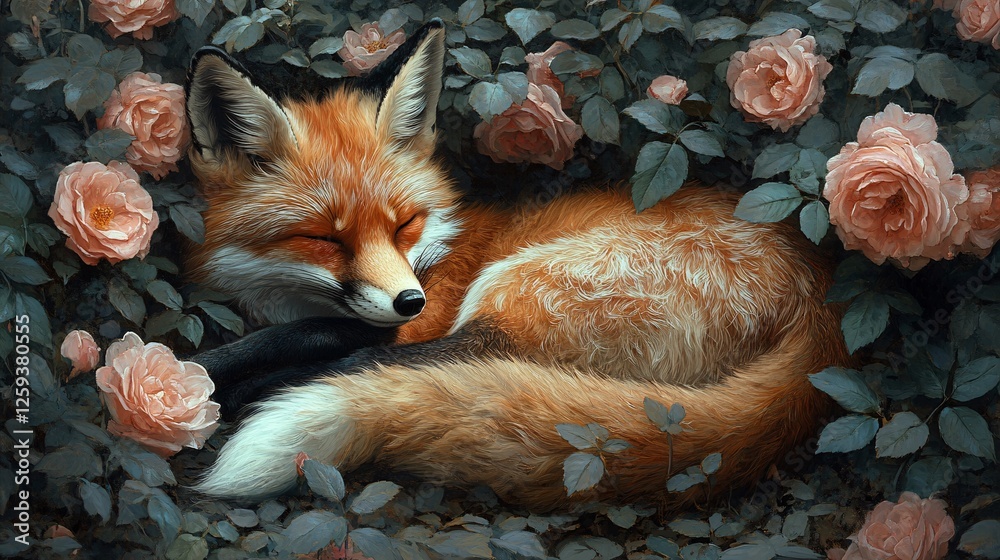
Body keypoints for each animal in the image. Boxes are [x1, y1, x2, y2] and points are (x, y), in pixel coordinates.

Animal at [183, 20, 851, 511]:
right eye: (323, 238)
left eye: (404, 223)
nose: (410, 301)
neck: (440, 247)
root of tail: (823, 304)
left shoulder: (416, 313)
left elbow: (311, 336)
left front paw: (218, 374)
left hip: (517, 289)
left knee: (391, 365)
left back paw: (261, 392)